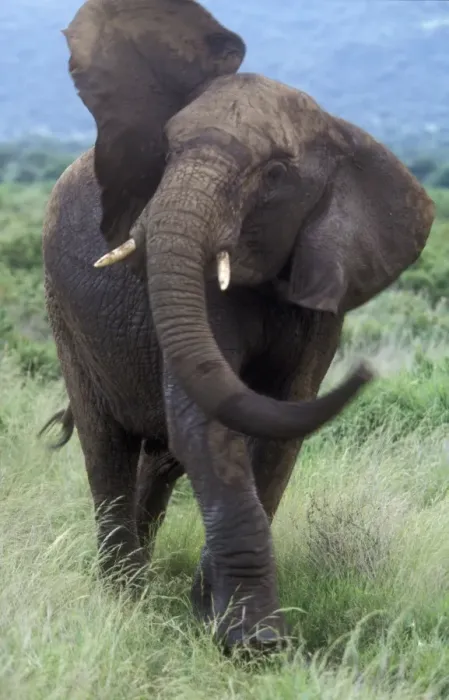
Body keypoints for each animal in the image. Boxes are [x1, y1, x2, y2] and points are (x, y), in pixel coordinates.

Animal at [39, 0, 434, 652]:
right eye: (165, 152)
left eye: (274, 174)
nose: (367, 370)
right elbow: (210, 419)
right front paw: (253, 642)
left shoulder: (321, 285)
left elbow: (276, 426)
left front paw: (222, 623)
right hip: (64, 315)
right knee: (106, 447)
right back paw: (124, 598)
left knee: (160, 460)